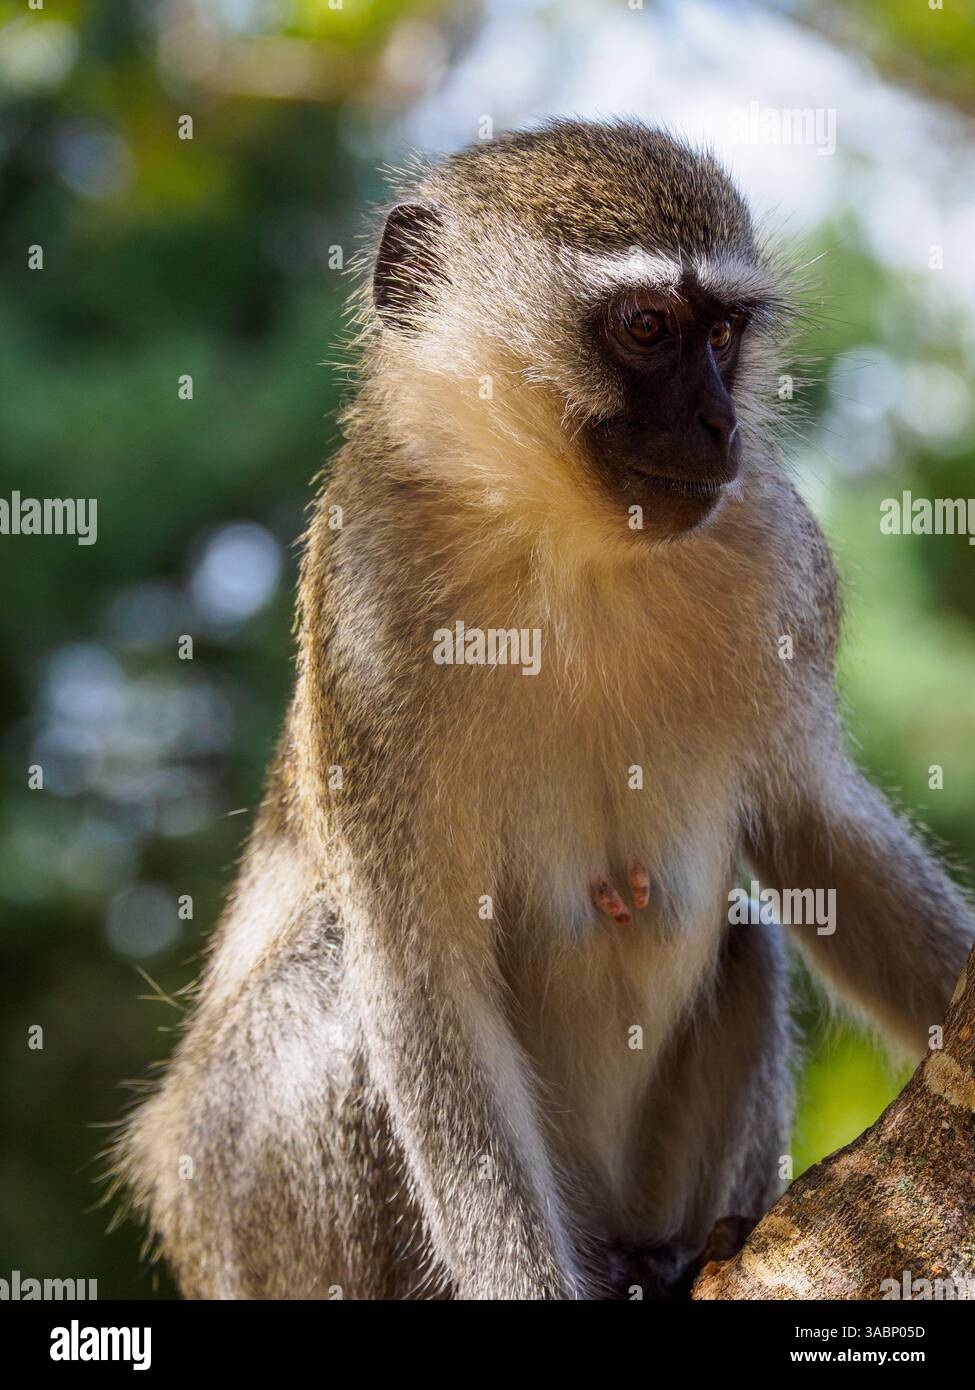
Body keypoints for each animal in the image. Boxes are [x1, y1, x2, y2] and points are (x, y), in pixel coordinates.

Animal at [116, 119, 975, 1300]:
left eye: (724, 332)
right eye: (648, 327)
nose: (717, 423)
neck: (567, 547)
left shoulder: (779, 560)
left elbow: (821, 833)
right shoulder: (365, 611)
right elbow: (422, 993)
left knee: (745, 937)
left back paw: (667, 1255)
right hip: (231, 1199)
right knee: (336, 986)